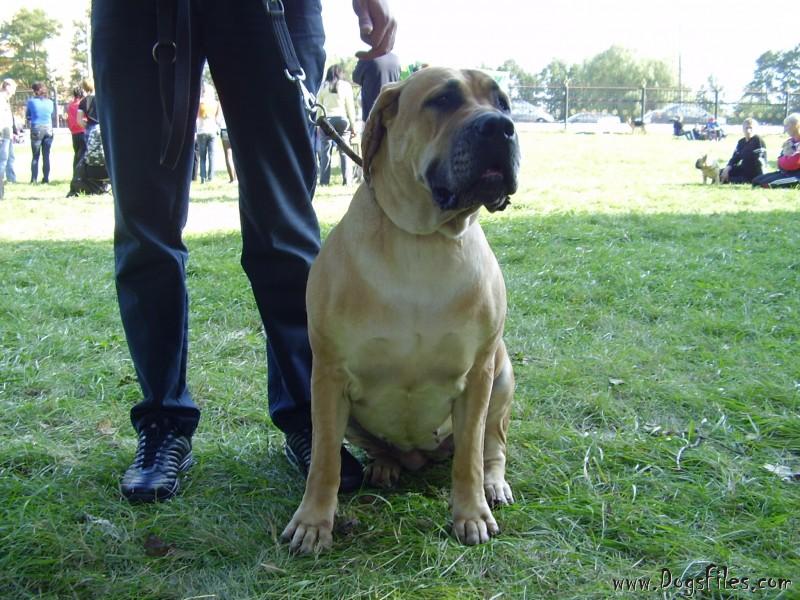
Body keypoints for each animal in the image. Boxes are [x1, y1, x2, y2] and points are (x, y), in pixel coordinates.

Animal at [281, 67, 520, 554]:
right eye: (443, 100)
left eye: (503, 102)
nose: (501, 127)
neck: (423, 241)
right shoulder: (328, 376)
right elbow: (324, 462)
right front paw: (313, 523)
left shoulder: (479, 375)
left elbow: (469, 456)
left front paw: (470, 514)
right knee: (377, 447)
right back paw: (386, 464)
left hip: (502, 376)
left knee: (492, 445)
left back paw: (492, 484)